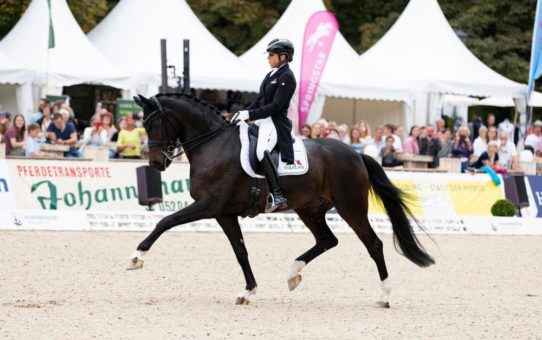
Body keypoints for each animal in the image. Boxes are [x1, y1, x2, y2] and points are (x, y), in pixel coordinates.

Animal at [130, 92, 436, 306]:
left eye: (153, 124)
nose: (156, 163)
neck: (213, 144)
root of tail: (355, 153)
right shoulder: (223, 213)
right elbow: (240, 252)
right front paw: (248, 291)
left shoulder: (208, 205)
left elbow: (166, 222)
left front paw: (137, 256)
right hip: (309, 209)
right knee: (327, 240)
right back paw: (293, 273)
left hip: (350, 207)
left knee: (373, 244)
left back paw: (384, 296)